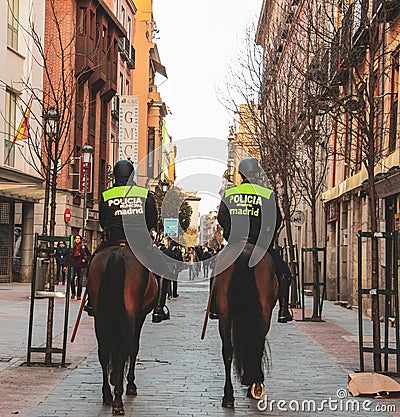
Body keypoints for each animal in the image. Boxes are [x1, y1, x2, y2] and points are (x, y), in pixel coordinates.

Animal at [87, 244, 158, 412]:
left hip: (100, 317)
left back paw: (107, 395)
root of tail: (117, 253)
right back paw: (118, 400)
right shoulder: (140, 316)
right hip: (129, 315)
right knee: (123, 350)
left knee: (104, 352)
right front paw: (130, 385)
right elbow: (134, 349)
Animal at [212, 242, 278, 408]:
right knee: (256, 344)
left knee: (228, 350)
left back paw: (228, 396)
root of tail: (245, 252)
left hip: (225, 312)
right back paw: (254, 384)